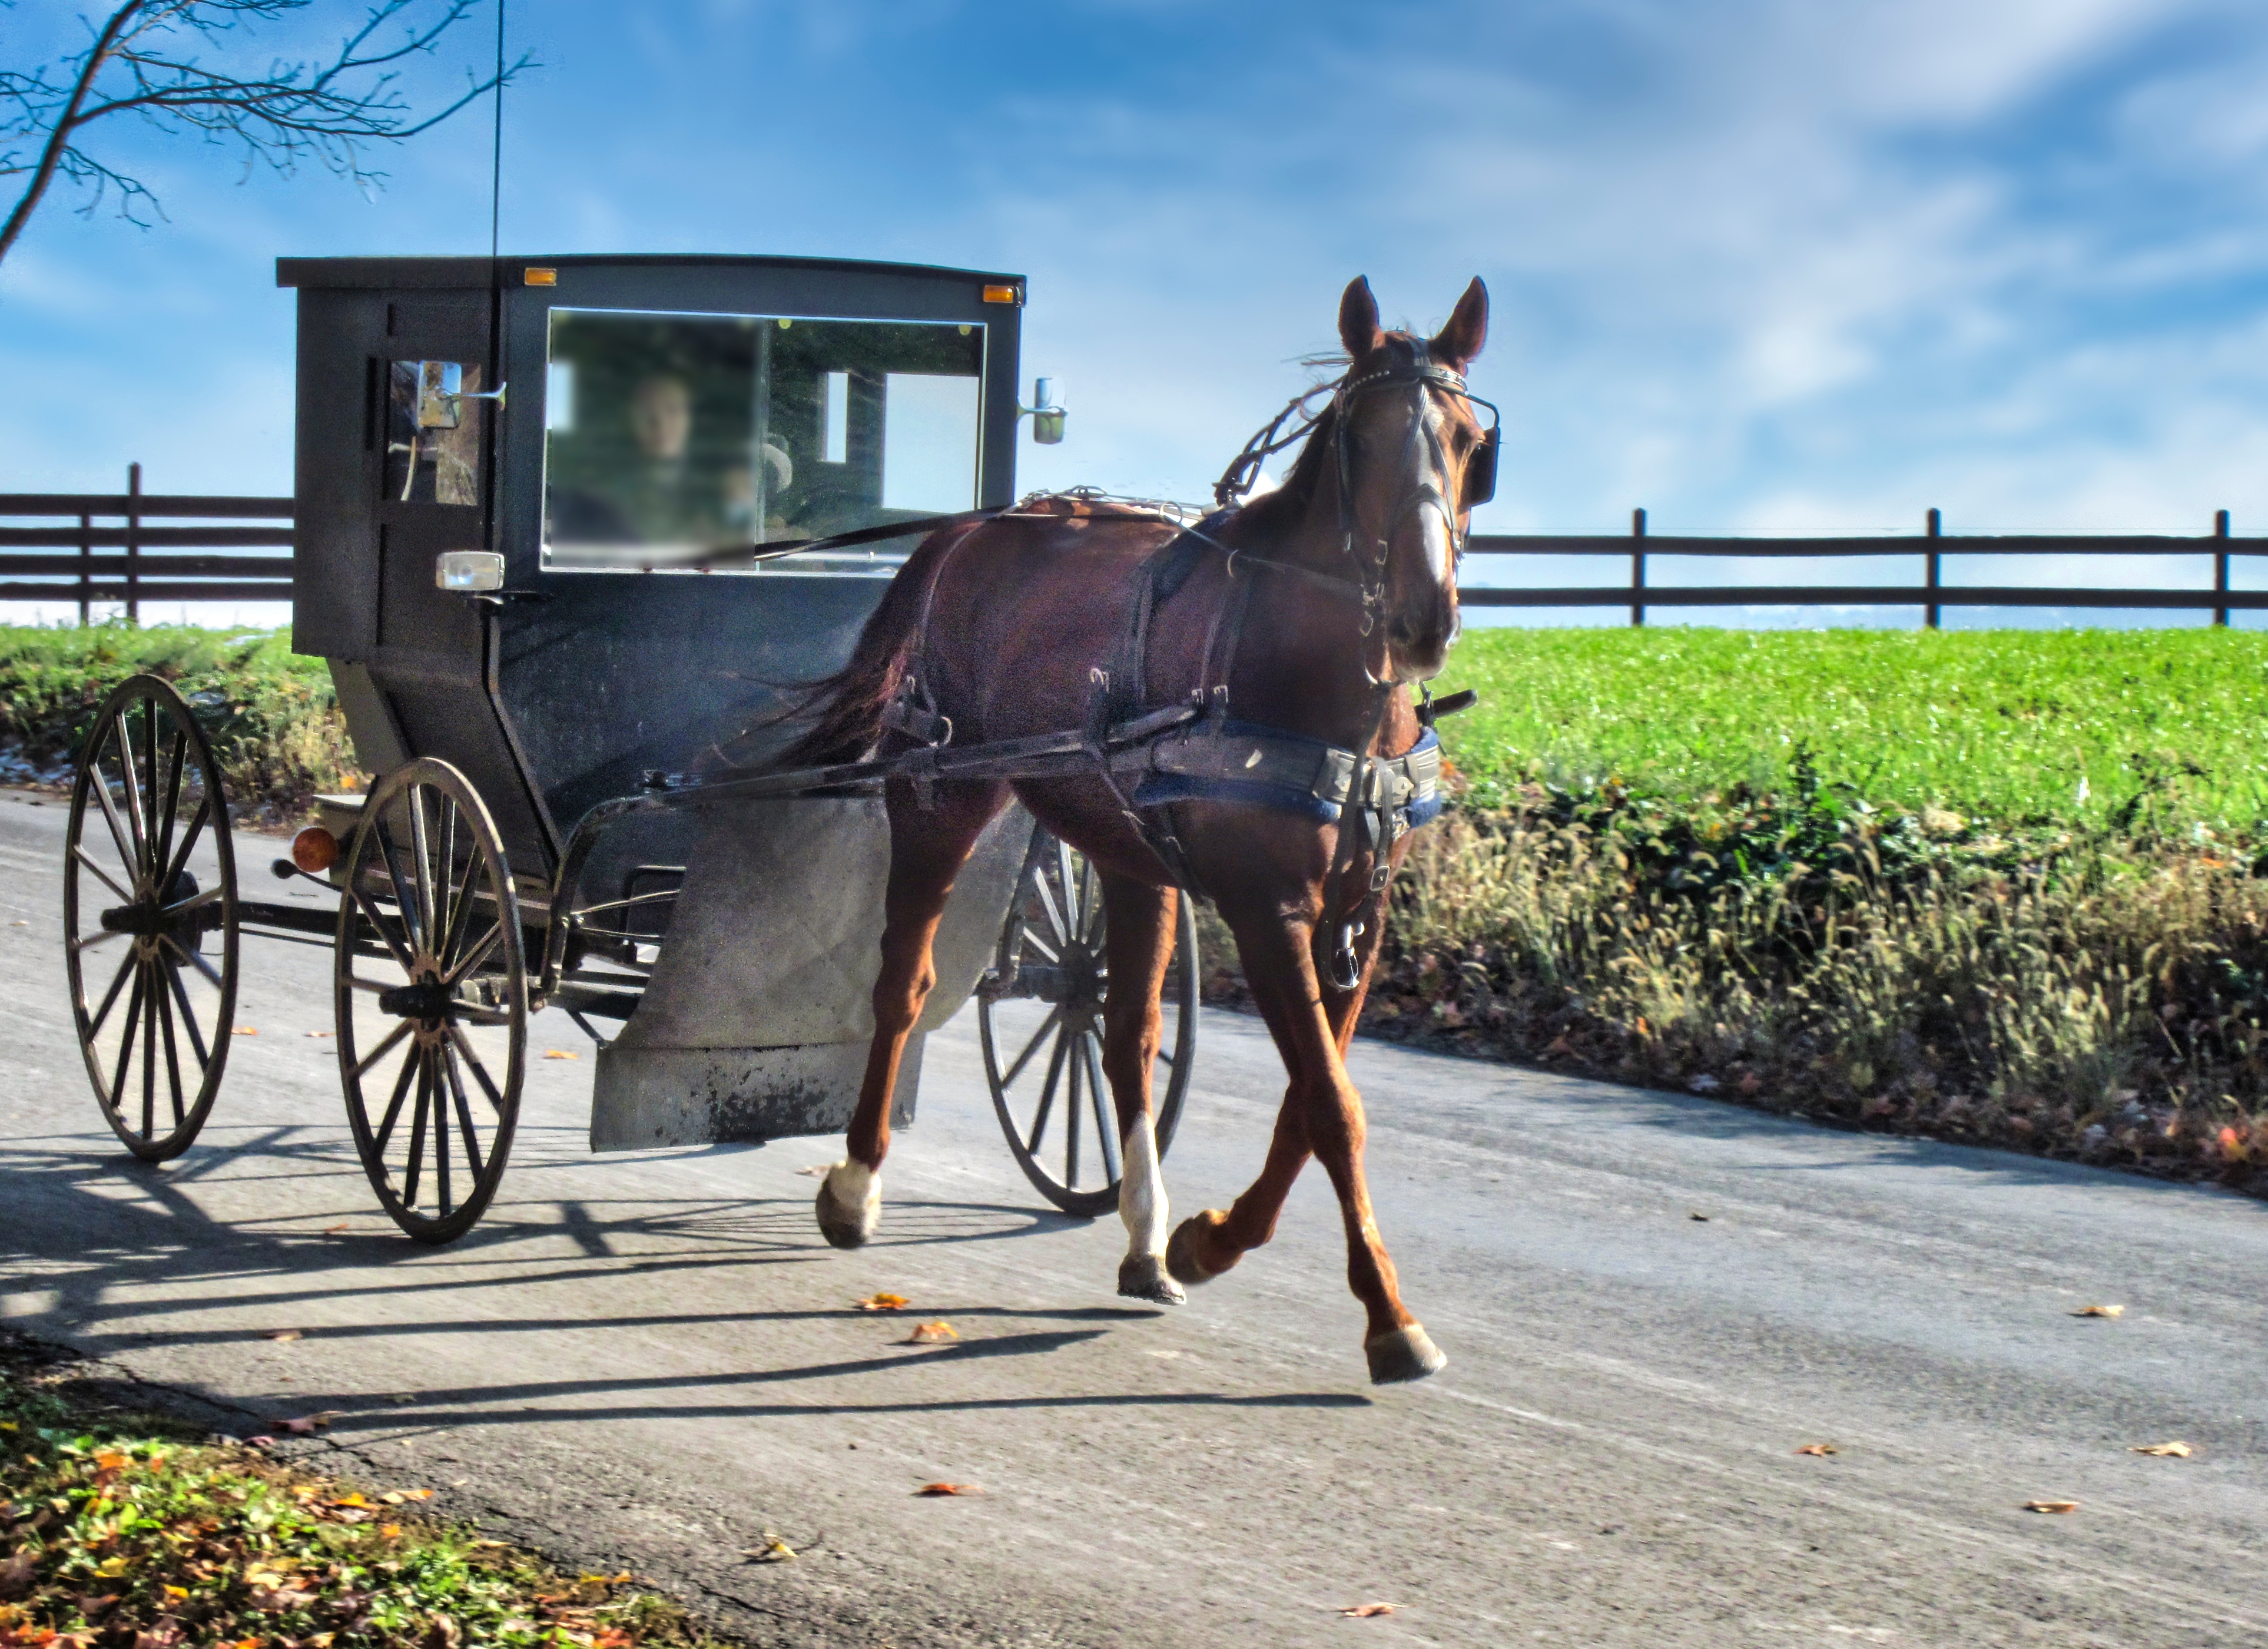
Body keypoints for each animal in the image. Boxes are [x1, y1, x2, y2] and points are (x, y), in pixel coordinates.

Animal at [782, 275, 1491, 1384]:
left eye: (1468, 440)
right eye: (1359, 440)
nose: (1425, 619)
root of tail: (967, 532)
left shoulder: (1358, 916)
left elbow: (1311, 1100)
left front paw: (1211, 1239)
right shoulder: (1265, 909)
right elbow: (1332, 1106)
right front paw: (1388, 1317)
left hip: (1129, 853)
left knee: (1122, 1033)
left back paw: (1147, 1238)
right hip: (938, 795)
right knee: (903, 985)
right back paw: (857, 1186)